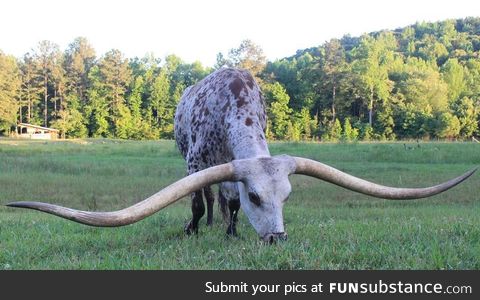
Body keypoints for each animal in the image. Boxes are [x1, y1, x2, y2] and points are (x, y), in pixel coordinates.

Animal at [8, 68, 476, 244]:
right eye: (258, 197)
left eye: (287, 197)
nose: (277, 238)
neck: (234, 105)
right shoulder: (198, 162)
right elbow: (200, 200)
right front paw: (193, 228)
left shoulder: (232, 169)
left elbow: (228, 201)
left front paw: (232, 230)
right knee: (207, 196)